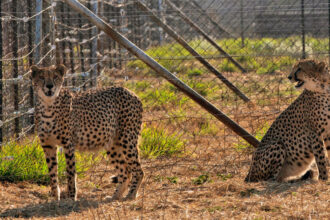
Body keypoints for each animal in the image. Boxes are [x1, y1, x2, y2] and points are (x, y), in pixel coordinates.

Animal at [30, 64, 143, 201]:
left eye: (55, 77)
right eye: (41, 77)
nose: (50, 85)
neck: (48, 105)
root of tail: (130, 91)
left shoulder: (68, 144)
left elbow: (70, 172)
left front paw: (71, 197)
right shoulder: (48, 145)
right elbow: (52, 172)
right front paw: (55, 198)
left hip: (127, 139)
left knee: (138, 170)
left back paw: (131, 195)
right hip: (112, 144)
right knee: (125, 171)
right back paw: (114, 196)